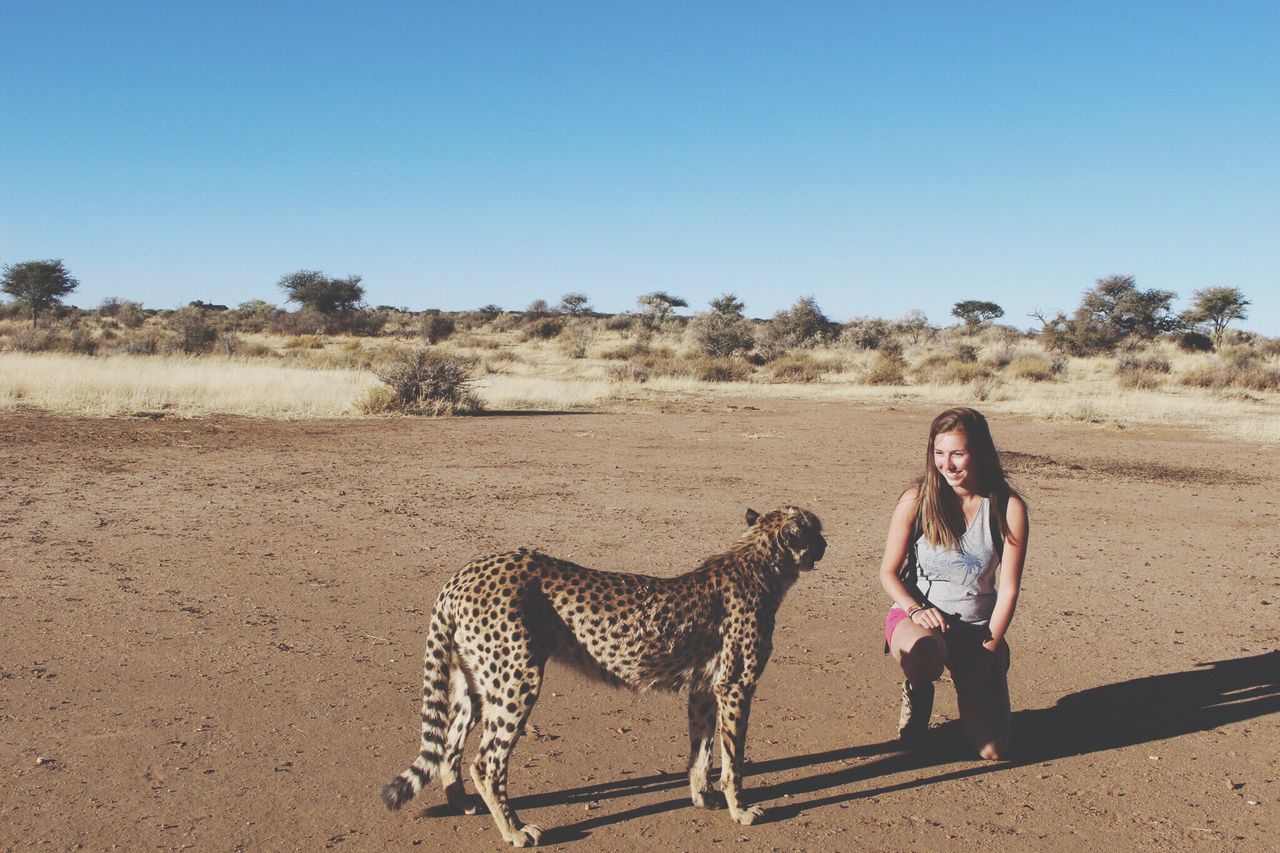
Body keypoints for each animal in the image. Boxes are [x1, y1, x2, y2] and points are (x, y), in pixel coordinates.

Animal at [378, 504, 824, 845]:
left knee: (449, 748)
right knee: (487, 762)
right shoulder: (735, 687)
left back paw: (464, 804)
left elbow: (702, 750)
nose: (825, 543)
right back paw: (515, 831)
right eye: (815, 528)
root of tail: (466, 572)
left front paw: (703, 797)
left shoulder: (702, 689)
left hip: (476, 682)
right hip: (517, 681)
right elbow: (734, 760)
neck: (760, 560)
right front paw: (741, 809)